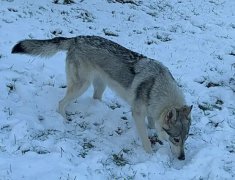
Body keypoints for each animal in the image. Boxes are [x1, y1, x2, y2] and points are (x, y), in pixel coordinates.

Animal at [11, 35, 193, 160]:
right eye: (176, 139)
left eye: (186, 139)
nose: (182, 158)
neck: (157, 87)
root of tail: (76, 39)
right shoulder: (137, 114)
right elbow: (146, 140)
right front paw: (150, 154)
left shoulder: (151, 111)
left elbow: (152, 124)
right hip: (81, 86)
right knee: (61, 103)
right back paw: (64, 120)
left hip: (99, 86)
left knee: (93, 99)